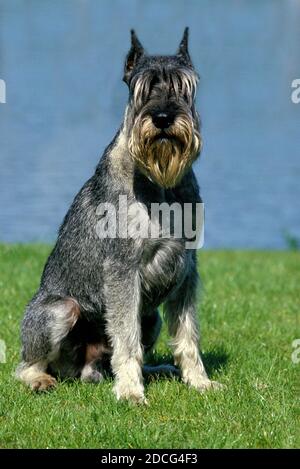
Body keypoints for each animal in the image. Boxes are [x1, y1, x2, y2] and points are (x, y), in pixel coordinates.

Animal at [17, 28, 223, 402]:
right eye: (142, 88)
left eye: (184, 86)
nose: (163, 118)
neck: (159, 185)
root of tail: (80, 370)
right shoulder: (123, 270)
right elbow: (126, 338)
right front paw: (129, 392)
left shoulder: (186, 268)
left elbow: (187, 334)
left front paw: (199, 381)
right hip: (59, 310)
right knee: (27, 364)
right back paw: (41, 379)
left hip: (151, 318)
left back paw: (157, 370)